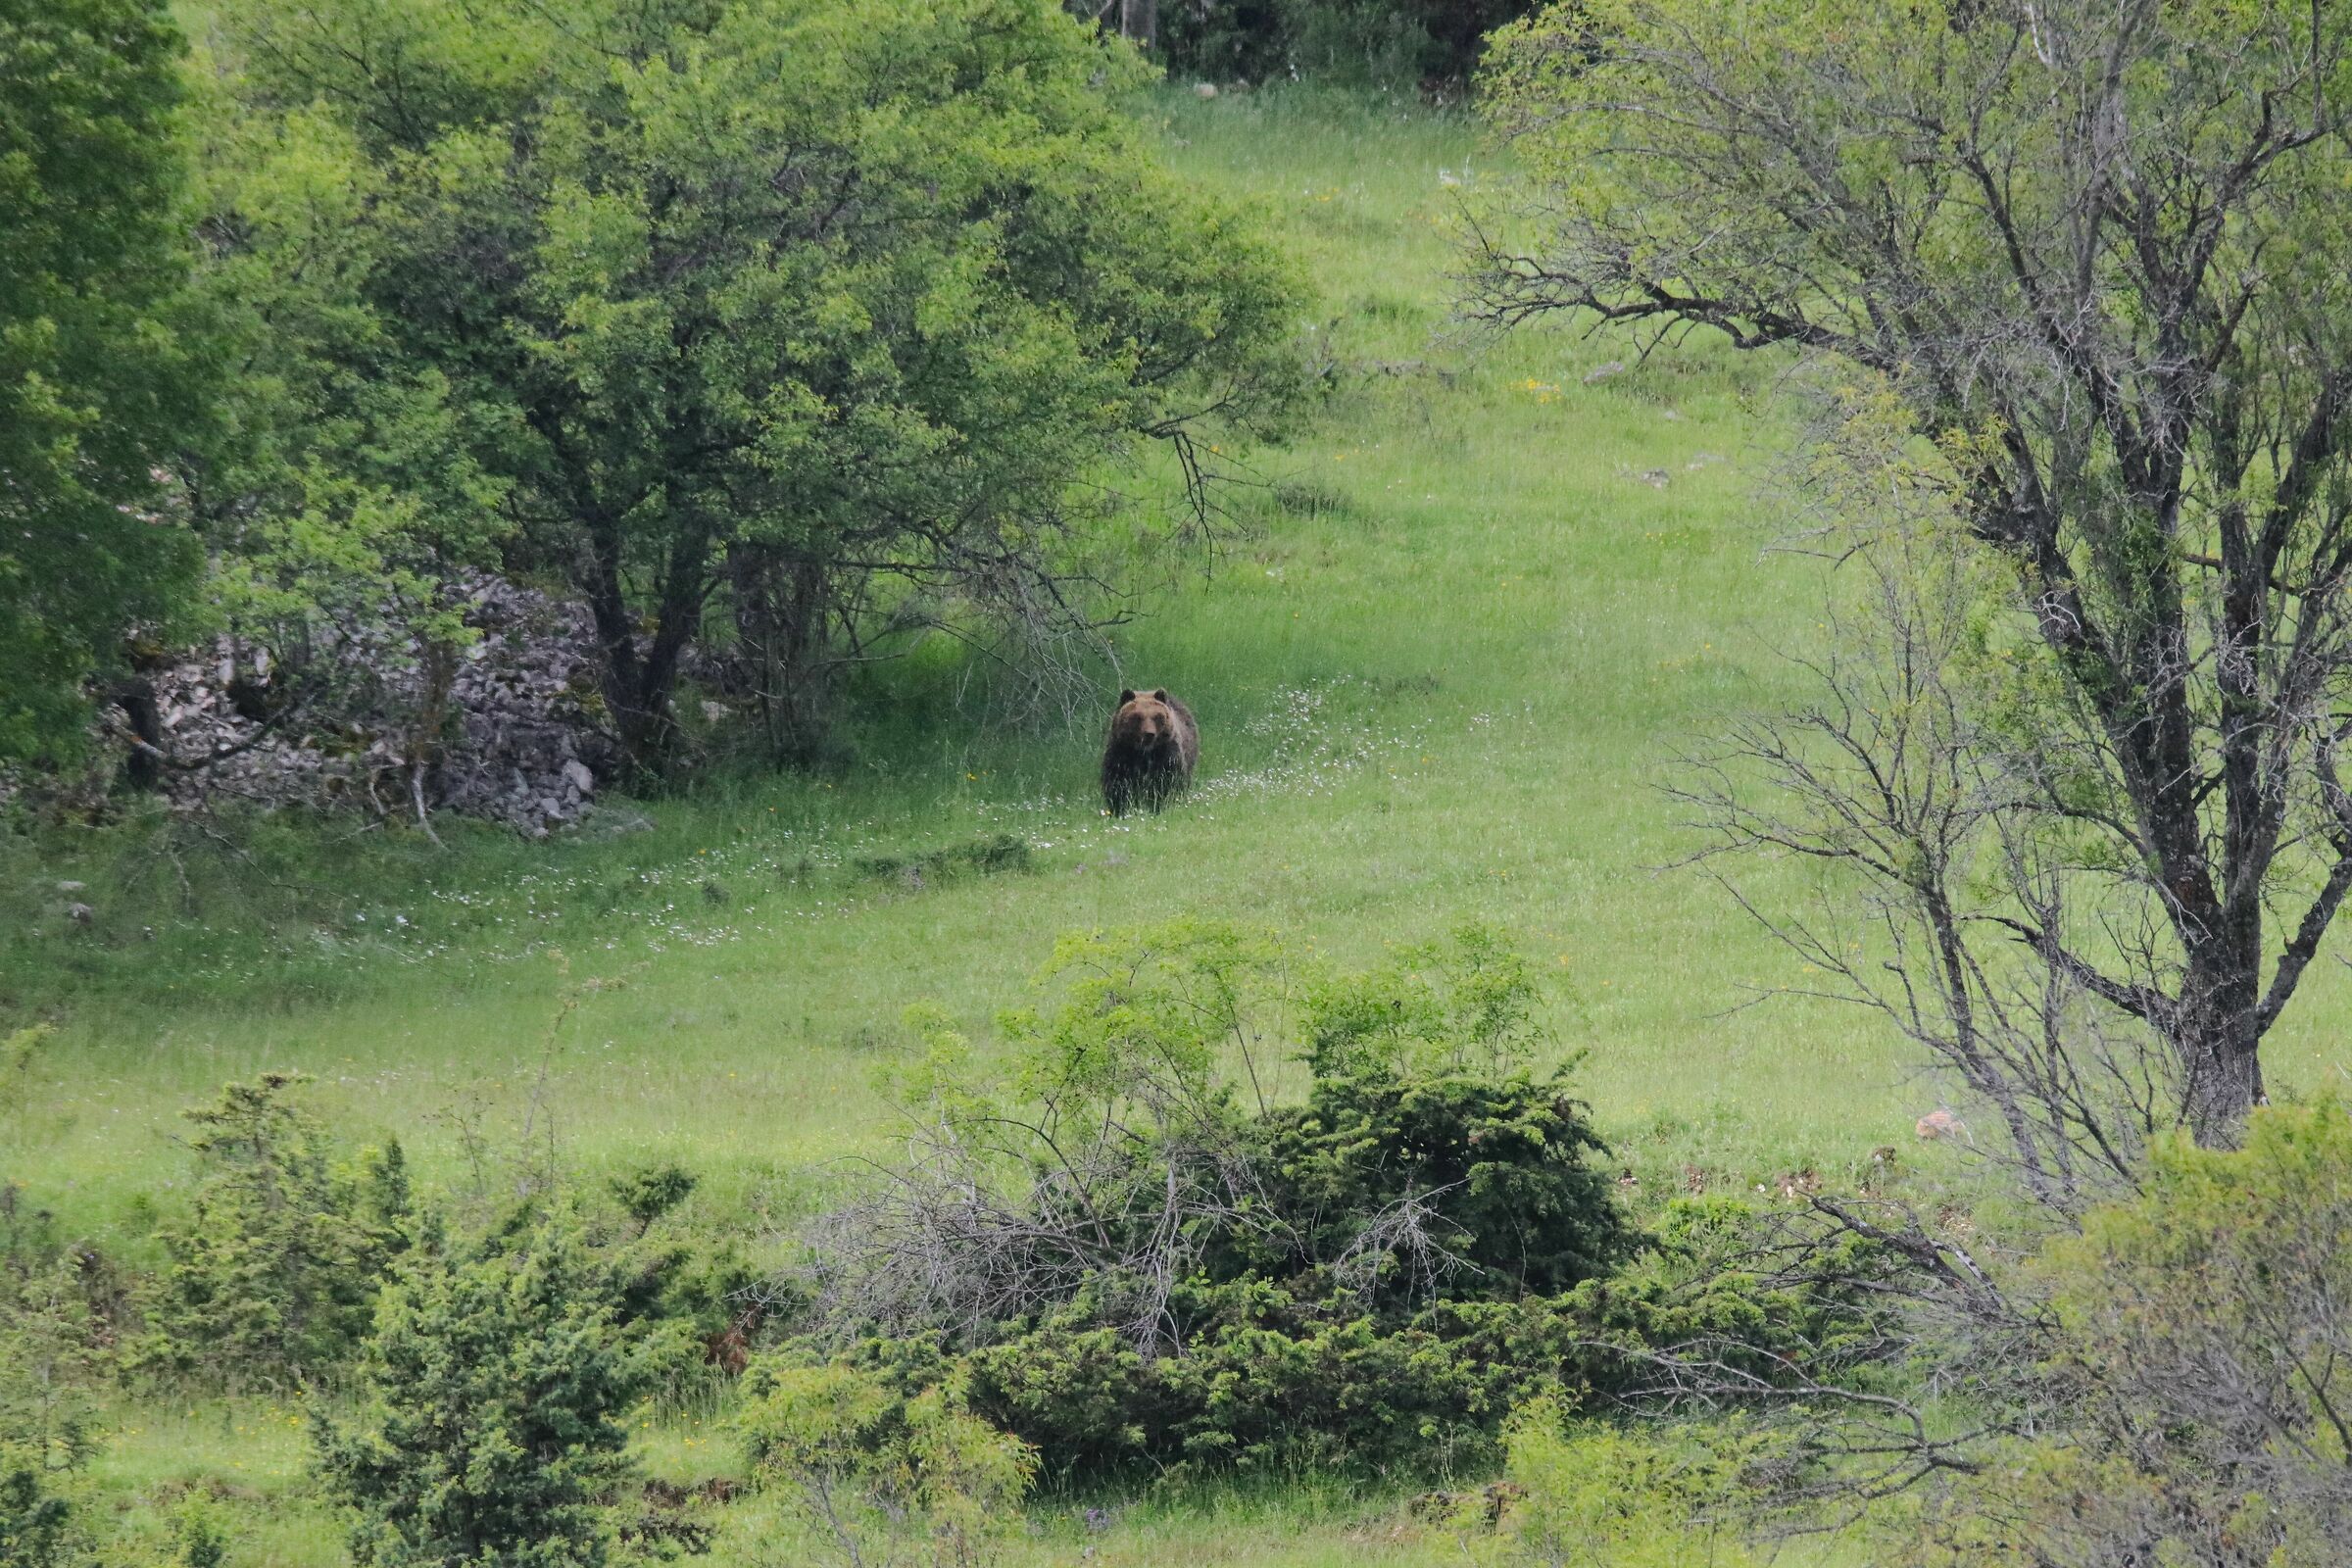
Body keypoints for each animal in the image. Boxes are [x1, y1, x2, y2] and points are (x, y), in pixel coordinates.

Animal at [1101, 687, 1198, 816]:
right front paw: (1120, 809)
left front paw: (1160, 806)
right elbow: (1117, 782)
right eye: (1137, 717)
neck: (1144, 752)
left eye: (1157, 716)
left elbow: (1167, 781)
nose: (1149, 734)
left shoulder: (1167, 754)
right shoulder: (1121, 752)